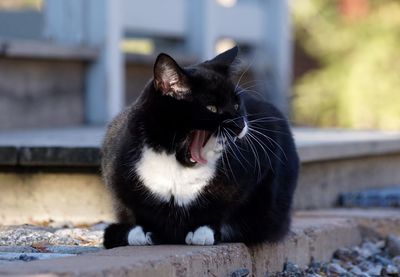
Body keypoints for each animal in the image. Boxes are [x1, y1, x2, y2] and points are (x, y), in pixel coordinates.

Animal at [101, 46, 298, 247]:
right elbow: (132, 212)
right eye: (211, 108)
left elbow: (222, 210)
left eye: (236, 105)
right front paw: (139, 233)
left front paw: (202, 231)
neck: (176, 166)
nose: (241, 125)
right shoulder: (116, 168)